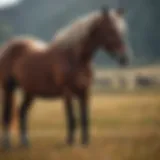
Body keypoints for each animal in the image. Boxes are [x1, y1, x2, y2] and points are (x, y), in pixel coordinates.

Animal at [0, 6, 132, 149]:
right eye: (111, 30)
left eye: (122, 31)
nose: (124, 59)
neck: (75, 58)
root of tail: (7, 47)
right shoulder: (67, 92)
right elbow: (72, 117)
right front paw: (70, 141)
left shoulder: (85, 92)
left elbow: (85, 118)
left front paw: (85, 142)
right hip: (8, 88)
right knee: (7, 114)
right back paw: (7, 143)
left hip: (30, 92)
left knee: (22, 112)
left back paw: (25, 142)